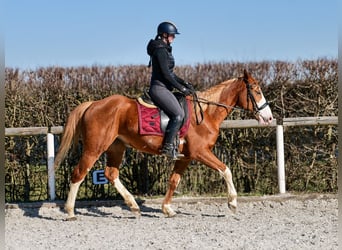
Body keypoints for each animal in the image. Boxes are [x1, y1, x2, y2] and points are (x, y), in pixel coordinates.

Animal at [54, 68, 272, 219]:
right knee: (79, 173)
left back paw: (133, 205)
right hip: (94, 147)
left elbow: (173, 180)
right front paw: (233, 203)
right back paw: (70, 212)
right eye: (256, 90)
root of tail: (93, 104)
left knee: (110, 174)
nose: (269, 118)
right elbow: (226, 170)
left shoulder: (186, 157)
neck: (205, 113)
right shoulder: (201, 152)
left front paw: (167, 209)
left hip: (116, 146)